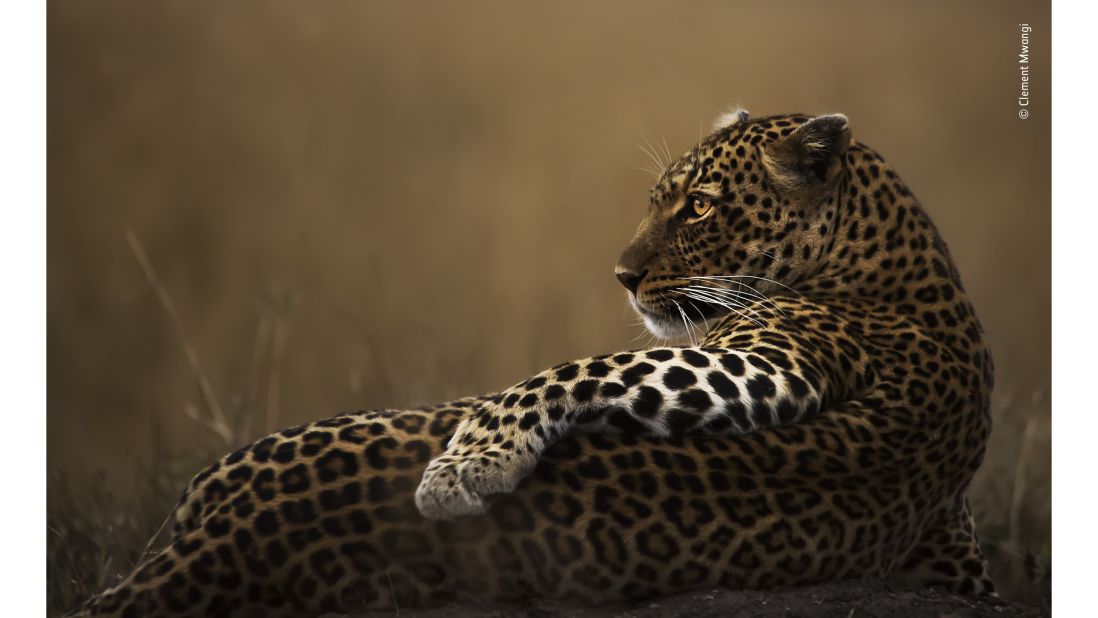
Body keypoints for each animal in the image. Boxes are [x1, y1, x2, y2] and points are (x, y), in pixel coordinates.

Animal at [75, 111, 996, 618]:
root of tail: (226, 536)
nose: (622, 274)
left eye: (699, 207)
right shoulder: (947, 536)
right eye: (657, 200)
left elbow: (578, 369)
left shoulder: (777, 361)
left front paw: (467, 464)